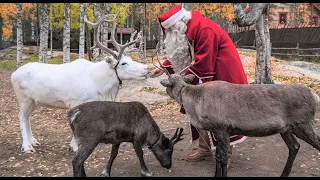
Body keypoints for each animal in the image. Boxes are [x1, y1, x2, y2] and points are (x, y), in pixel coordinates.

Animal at [161, 73, 320, 177]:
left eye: (169, 78)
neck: (194, 104)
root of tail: (315, 95)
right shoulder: (218, 131)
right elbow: (218, 156)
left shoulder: (222, 128)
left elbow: (222, 157)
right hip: (286, 129)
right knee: (294, 146)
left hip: (303, 124)